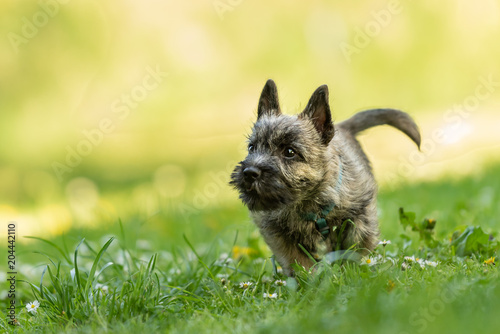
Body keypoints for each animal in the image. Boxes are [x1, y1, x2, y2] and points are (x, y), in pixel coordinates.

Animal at [229, 79, 420, 276]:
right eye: (252, 147)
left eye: (289, 152)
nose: (249, 172)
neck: (308, 202)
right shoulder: (277, 233)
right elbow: (298, 260)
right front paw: (309, 279)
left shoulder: (361, 218)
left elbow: (356, 249)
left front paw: (354, 274)